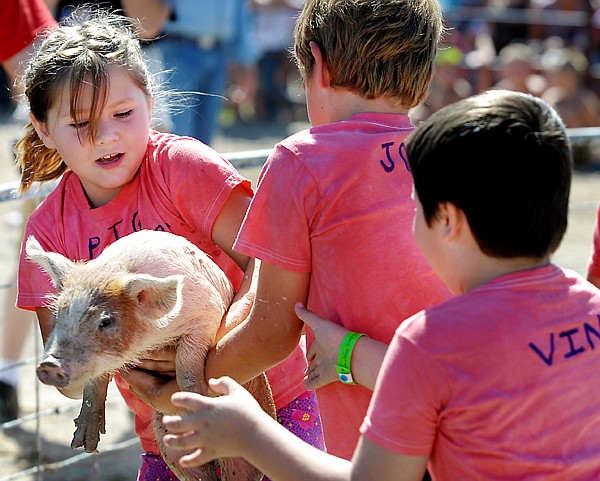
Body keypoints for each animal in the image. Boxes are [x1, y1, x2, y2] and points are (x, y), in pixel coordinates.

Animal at [25, 229, 274, 480]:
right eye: (58, 314)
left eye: (106, 321)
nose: (49, 365)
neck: (152, 337)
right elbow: (95, 382)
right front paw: (84, 445)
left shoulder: (206, 316)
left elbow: (186, 369)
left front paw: (195, 404)